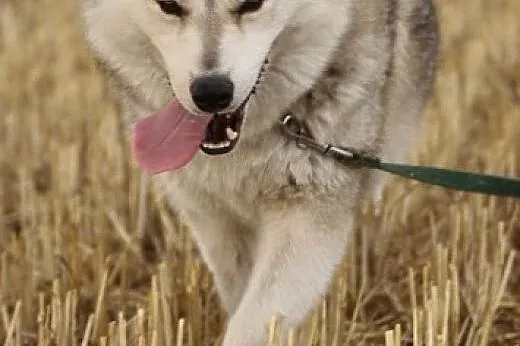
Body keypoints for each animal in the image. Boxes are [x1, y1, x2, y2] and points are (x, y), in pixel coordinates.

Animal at [81, 0, 438, 344]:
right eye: (168, 6)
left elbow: (256, 322)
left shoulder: (308, 215)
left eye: (251, 4)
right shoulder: (215, 222)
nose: (211, 92)